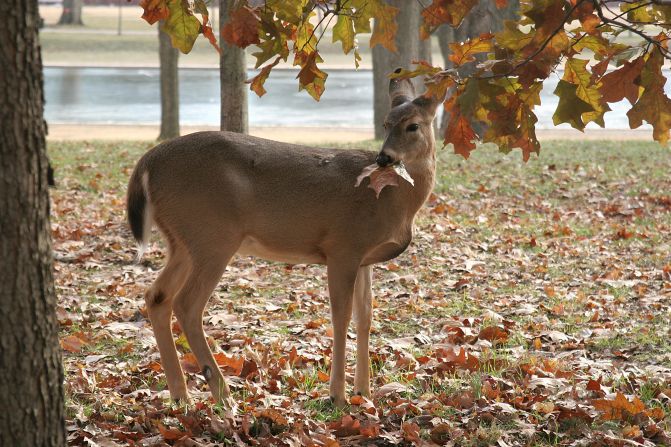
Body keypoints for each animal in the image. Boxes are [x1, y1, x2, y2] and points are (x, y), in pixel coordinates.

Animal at [126, 71, 444, 410]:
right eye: (386, 123)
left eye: (413, 125)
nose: (384, 157)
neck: (392, 201)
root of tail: (147, 163)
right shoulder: (343, 245)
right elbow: (341, 316)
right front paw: (339, 395)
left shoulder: (364, 257)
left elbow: (366, 316)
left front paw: (365, 393)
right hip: (212, 235)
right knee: (187, 304)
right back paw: (223, 395)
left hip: (182, 241)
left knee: (157, 296)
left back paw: (182, 395)